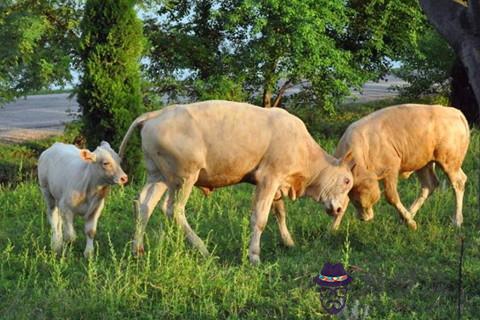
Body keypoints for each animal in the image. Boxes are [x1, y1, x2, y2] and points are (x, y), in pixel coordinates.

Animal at [118, 100, 354, 264]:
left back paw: (137, 250)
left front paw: (288, 242)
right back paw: (203, 249)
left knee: (144, 205)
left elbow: (280, 213)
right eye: (346, 181)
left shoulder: (277, 183)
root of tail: (157, 113)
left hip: (158, 175)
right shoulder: (268, 178)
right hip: (184, 177)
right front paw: (254, 256)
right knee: (173, 209)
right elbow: (260, 218)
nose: (339, 209)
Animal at [334, 104, 468, 229]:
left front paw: (411, 223)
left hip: (449, 162)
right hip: (423, 163)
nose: (362, 218)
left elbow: (391, 197)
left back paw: (457, 221)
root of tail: (456, 113)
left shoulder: (390, 169)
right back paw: (408, 215)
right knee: (429, 185)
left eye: (357, 200)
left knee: (458, 182)